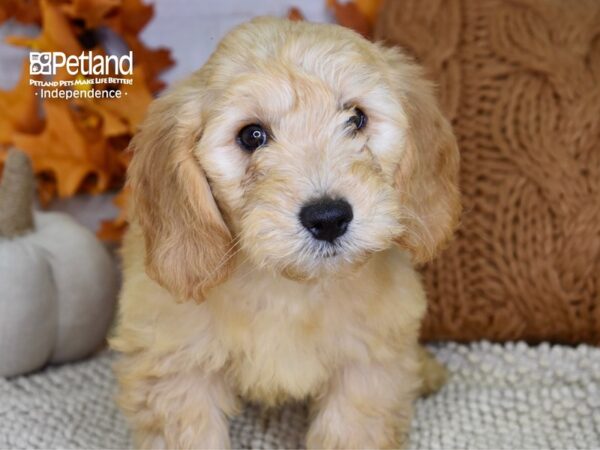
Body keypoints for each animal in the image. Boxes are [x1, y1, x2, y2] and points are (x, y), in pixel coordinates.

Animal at [111, 15, 460, 448]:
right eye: (252, 135)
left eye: (356, 118)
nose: (328, 218)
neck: (287, 289)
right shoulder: (178, 370)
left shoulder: (365, 366)